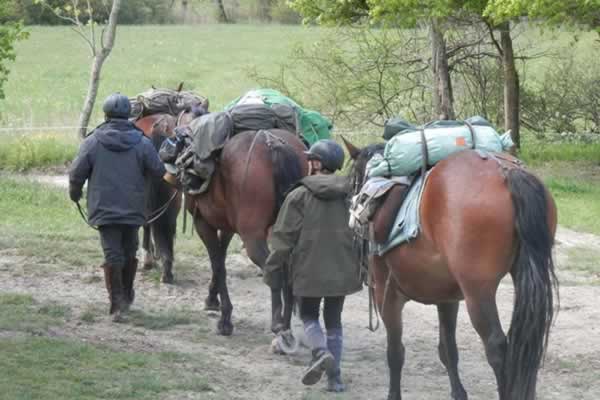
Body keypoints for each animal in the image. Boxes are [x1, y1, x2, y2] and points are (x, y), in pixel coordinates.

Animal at [344, 138, 560, 400]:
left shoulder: (386, 296)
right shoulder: (447, 299)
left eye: (353, 180)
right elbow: (448, 350)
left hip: (477, 291)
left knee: (497, 348)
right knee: (526, 346)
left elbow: (395, 353)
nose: (354, 213)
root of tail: (507, 171)